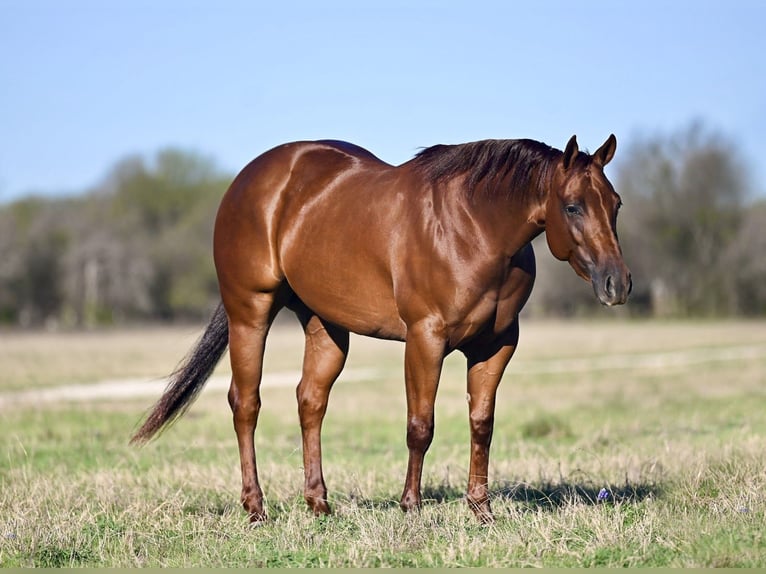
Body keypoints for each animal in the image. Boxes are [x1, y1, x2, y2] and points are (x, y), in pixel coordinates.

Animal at [131, 134, 631, 524]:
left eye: (616, 204)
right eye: (572, 206)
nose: (617, 283)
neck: (474, 227)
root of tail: (248, 179)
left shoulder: (497, 346)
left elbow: (482, 425)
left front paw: (481, 510)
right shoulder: (425, 338)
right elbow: (420, 425)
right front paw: (411, 507)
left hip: (325, 325)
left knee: (310, 401)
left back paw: (319, 504)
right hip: (249, 312)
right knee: (246, 404)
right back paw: (256, 509)